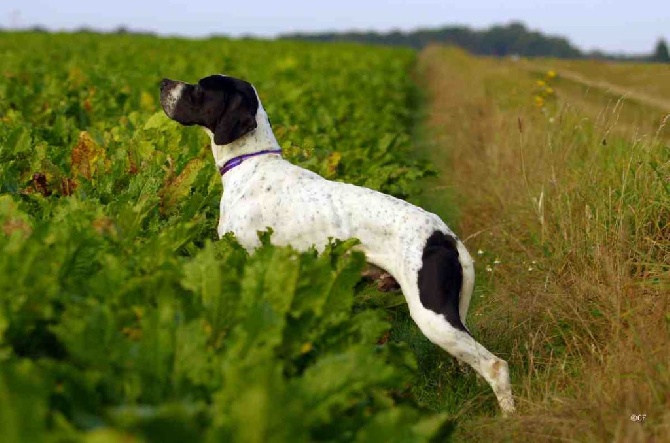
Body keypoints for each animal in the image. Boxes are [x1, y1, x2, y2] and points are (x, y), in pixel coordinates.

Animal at [160, 74, 516, 414]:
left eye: (200, 89)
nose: (163, 83)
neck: (252, 164)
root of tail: (446, 237)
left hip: (433, 316)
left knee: (495, 366)